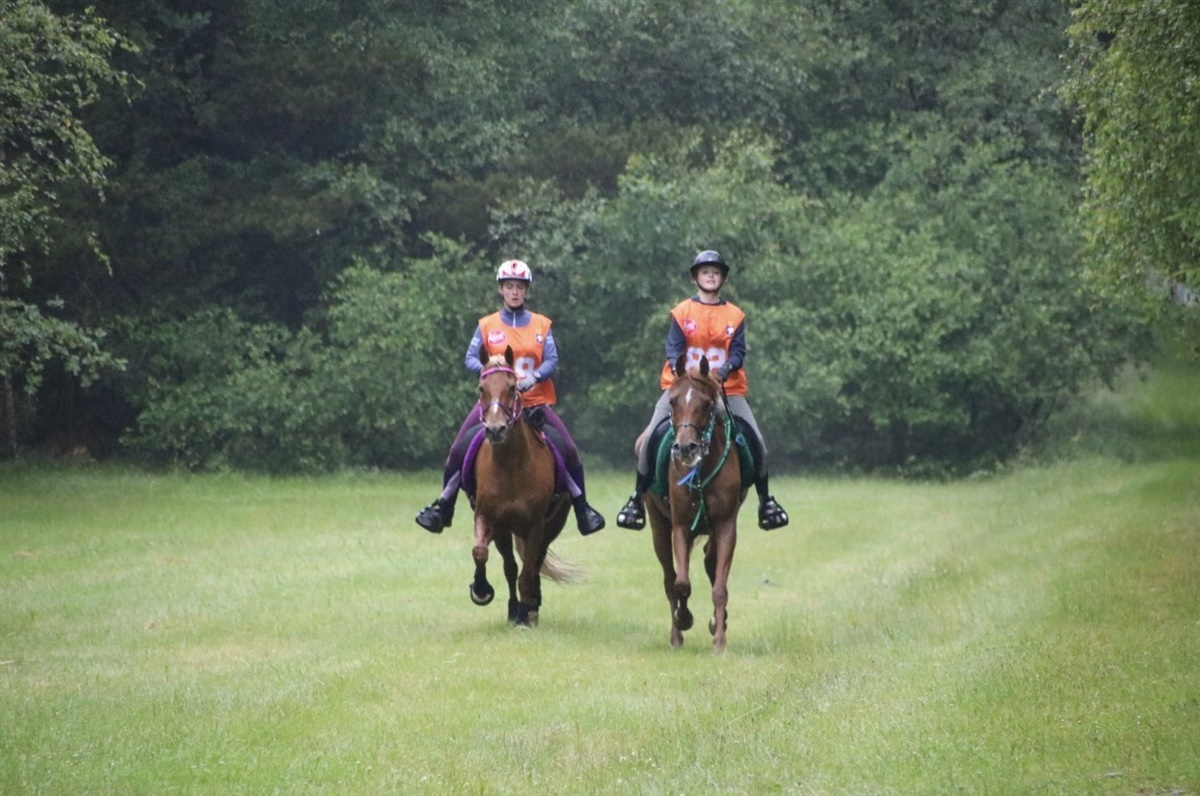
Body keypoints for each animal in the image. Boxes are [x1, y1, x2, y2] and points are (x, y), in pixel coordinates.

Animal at [468, 346, 575, 627]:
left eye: (513, 387)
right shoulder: (489, 519)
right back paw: (514, 608)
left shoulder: (535, 526)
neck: (510, 467)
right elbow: (481, 551)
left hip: (553, 524)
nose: (495, 430)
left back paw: (530, 607)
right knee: (511, 567)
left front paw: (527, 616)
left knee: (533, 564)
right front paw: (481, 590)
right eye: (481, 388)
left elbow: (528, 571)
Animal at [642, 353, 748, 653]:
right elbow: (681, 583)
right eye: (673, 401)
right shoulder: (680, 526)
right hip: (658, 526)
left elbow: (720, 587)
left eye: (707, 403)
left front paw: (719, 640)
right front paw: (684, 618)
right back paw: (676, 636)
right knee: (669, 578)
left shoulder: (725, 526)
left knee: (710, 564)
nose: (686, 448)